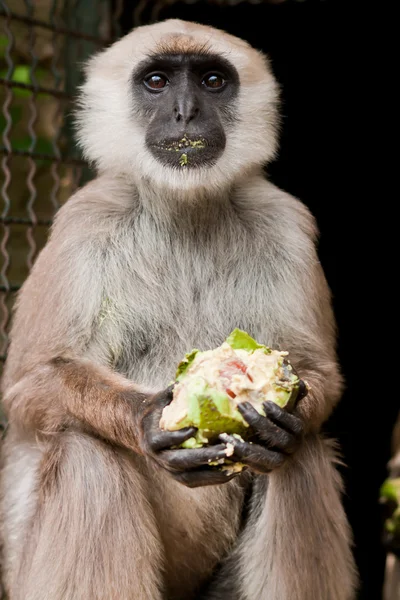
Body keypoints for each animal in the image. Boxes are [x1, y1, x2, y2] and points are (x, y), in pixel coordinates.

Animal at [0, 18, 356, 600]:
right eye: (158, 82)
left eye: (212, 81)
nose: (185, 111)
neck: (183, 209)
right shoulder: (85, 220)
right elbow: (28, 386)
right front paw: (146, 419)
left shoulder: (284, 220)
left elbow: (312, 371)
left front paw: (281, 422)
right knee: (85, 450)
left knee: (300, 455)